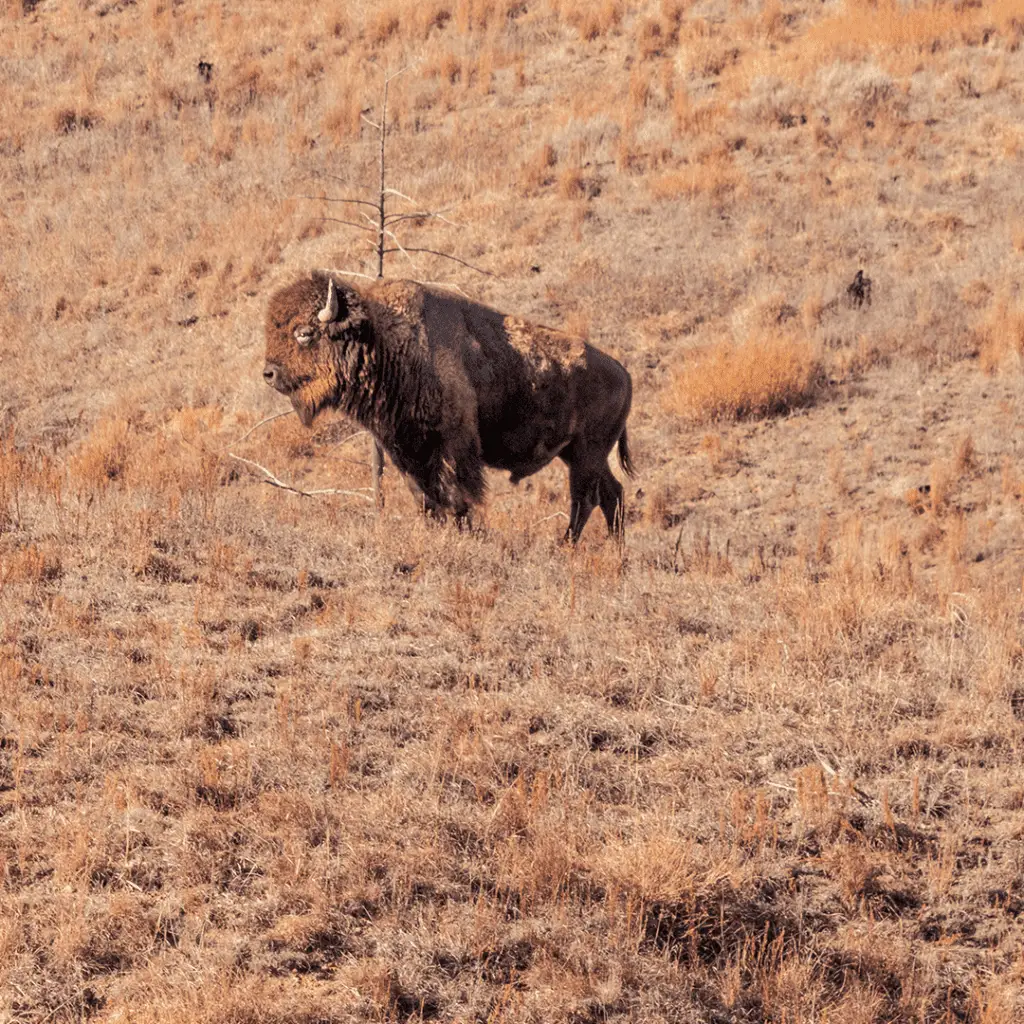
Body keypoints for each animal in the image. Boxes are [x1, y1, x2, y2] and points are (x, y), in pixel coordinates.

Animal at [263, 272, 634, 542]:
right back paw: (614, 549)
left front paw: (464, 533)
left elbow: (456, 494)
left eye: (304, 332)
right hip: (580, 454)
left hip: (586, 454)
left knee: (585, 498)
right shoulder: (405, 449)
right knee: (611, 494)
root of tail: (624, 373)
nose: (269, 373)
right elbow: (425, 498)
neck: (388, 341)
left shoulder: (452, 444)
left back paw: (565, 546)